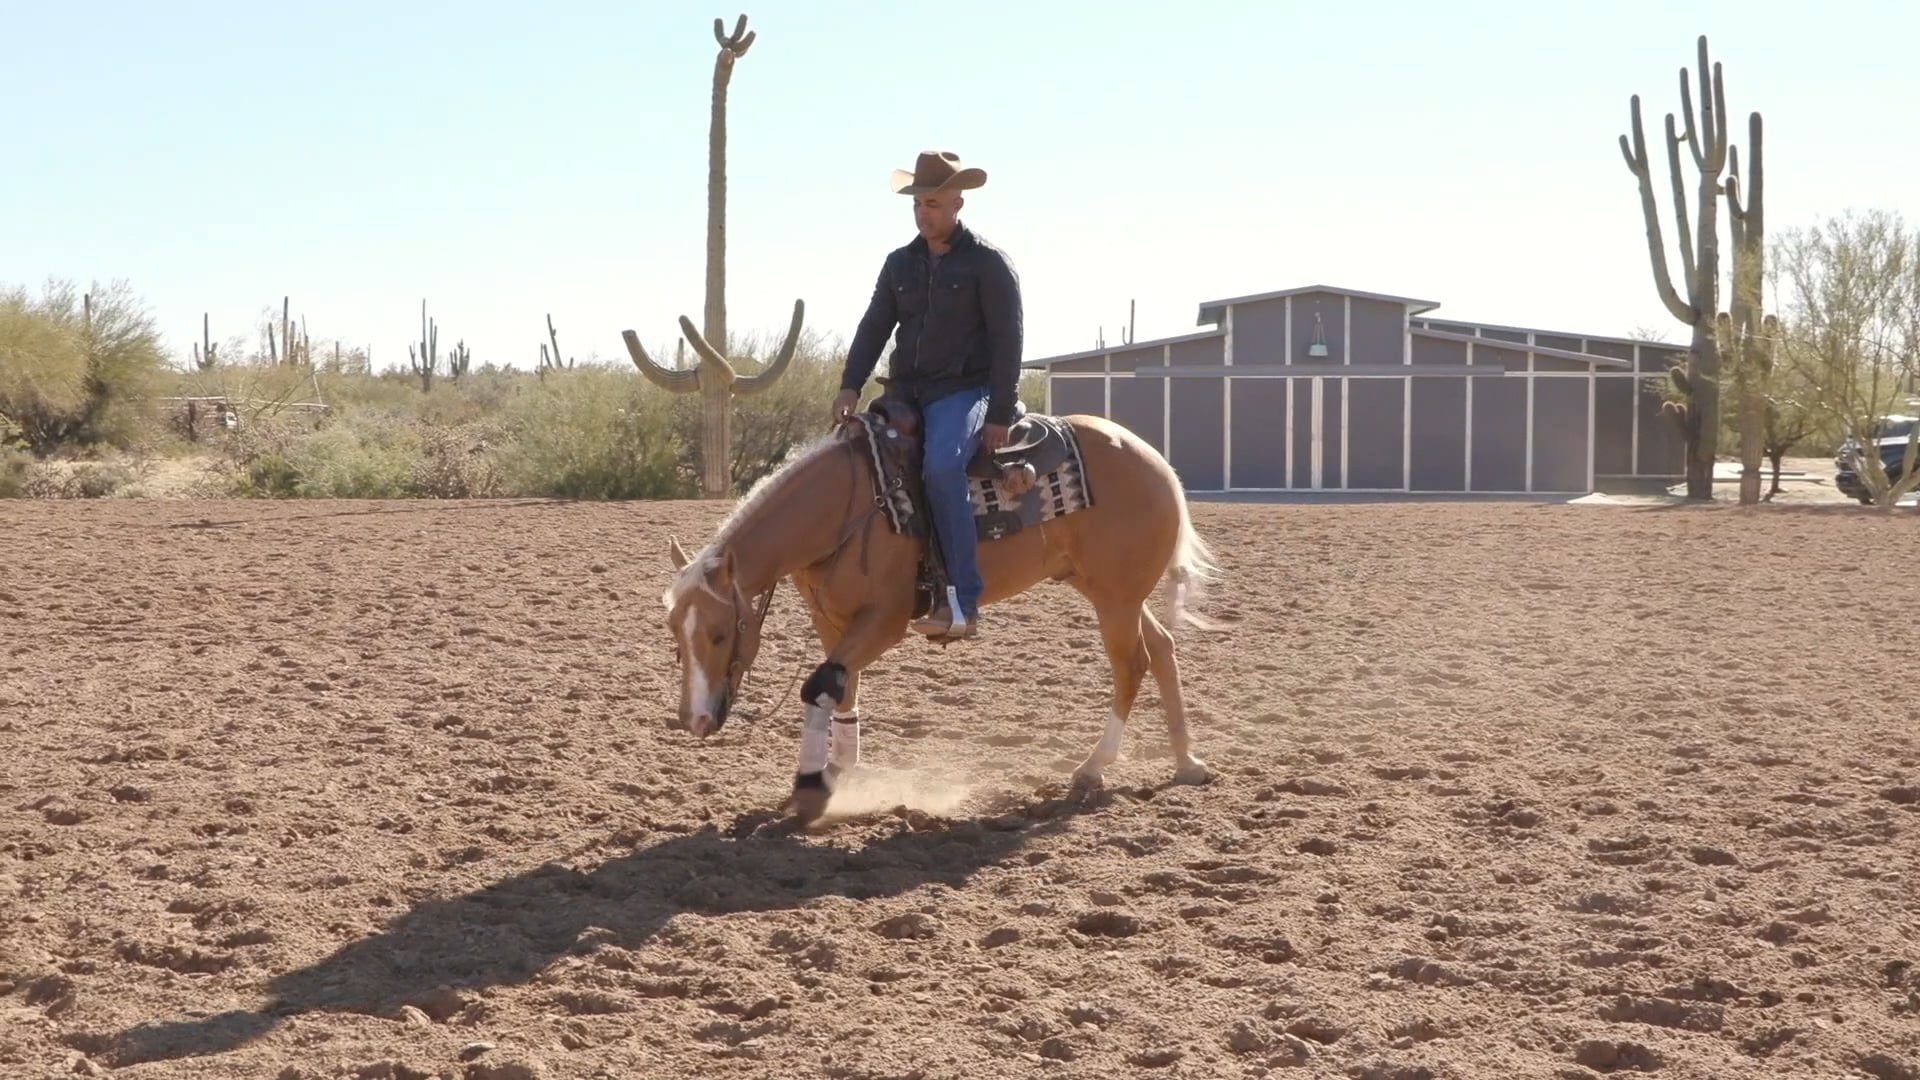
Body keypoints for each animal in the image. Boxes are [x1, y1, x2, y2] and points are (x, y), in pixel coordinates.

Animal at [658, 389, 1226, 825]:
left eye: (719, 634)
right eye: (676, 638)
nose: (695, 721)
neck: (848, 506)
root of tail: (1157, 462)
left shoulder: (885, 621)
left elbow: (820, 684)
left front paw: (812, 788)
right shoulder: (831, 619)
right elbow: (840, 687)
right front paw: (836, 770)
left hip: (1116, 597)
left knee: (1132, 664)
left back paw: (1093, 766)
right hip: (1109, 591)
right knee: (1162, 649)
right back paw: (1188, 762)